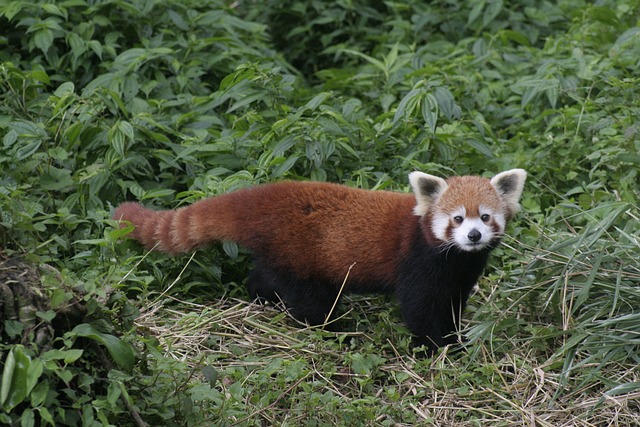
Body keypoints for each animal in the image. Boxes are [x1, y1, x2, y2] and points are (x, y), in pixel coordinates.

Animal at [114, 171, 524, 354]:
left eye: (485, 217)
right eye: (457, 219)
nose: (474, 236)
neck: (453, 259)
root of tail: (262, 197)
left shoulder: (459, 273)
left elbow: (452, 304)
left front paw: (457, 337)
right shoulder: (417, 261)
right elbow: (419, 309)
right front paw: (437, 346)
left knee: (264, 276)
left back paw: (263, 296)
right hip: (300, 254)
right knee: (311, 301)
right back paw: (334, 329)